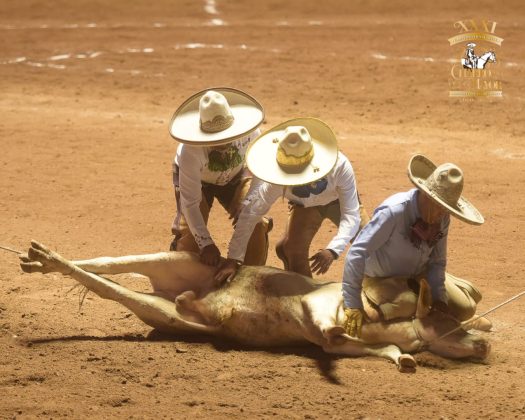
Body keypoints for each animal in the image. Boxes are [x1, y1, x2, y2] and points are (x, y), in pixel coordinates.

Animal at [18, 241, 490, 372]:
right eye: (450, 322)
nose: (484, 344)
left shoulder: (339, 346)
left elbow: (379, 349)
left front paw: (405, 359)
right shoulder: (318, 305)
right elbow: (326, 320)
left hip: (165, 308)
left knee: (105, 279)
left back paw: (36, 259)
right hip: (174, 259)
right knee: (105, 264)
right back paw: (40, 257)